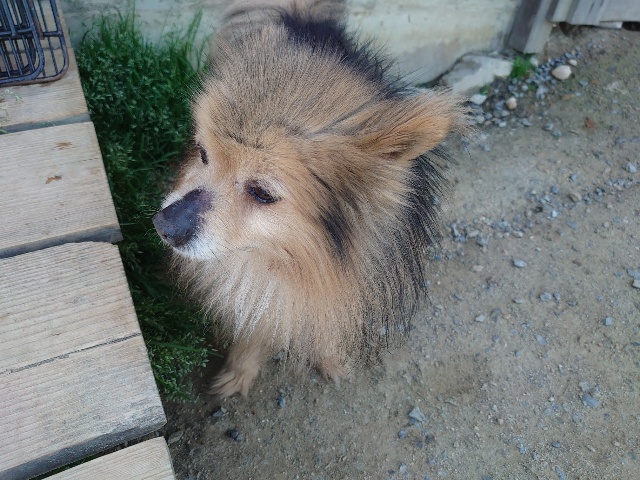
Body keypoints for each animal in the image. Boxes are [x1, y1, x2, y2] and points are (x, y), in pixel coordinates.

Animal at [153, 0, 465, 398]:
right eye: (203, 154)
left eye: (261, 192)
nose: (163, 225)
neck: (294, 260)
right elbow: (256, 321)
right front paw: (239, 371)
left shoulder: (340, 280)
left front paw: (329, 358)